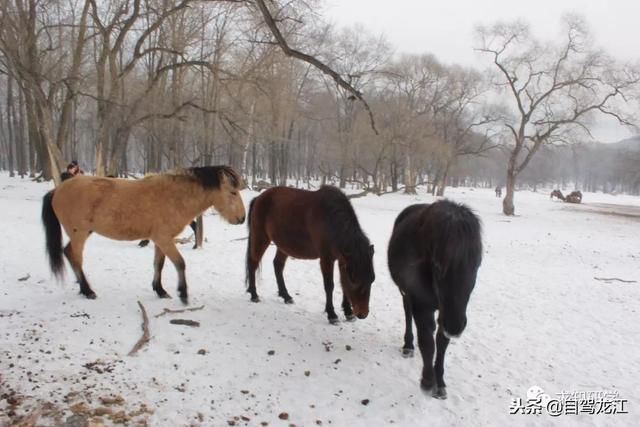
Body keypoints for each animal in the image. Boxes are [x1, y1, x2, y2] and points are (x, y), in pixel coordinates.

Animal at [40, 166, 245, 304]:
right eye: (233, 192)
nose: (242, 218)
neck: (174, 197)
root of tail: (57, 190)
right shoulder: (164, 240)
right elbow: (180, 263)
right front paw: (183, 293)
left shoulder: (160, 241)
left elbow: (158, 265)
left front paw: (160, 290)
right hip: (80, 234)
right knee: (75, 257)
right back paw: (87, 290)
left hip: (83, 233)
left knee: (69, 253)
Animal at [245, 186, 376, 324]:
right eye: (354, 280)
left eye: (372, 279)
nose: (362, 314)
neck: (330, 220)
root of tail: (259, 198)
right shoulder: (326, 259)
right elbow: (329, 286)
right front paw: (332, 314)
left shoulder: (342, 260)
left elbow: (343, 284)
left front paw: (348, 312)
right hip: (261, 238)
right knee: (253, 262)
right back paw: (254, 295)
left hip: (283, 246)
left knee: (277, 265)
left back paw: (286, 296)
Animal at [388, 201, 482, 402]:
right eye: (438, 265)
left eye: (477, 264)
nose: (455, 327)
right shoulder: (421, 304)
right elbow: (427, 342)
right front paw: (427, 381)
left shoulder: (445, 313)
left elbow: (441, 343)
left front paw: (440, 383)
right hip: (407, 295)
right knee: (407, 314)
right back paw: (408, 346)